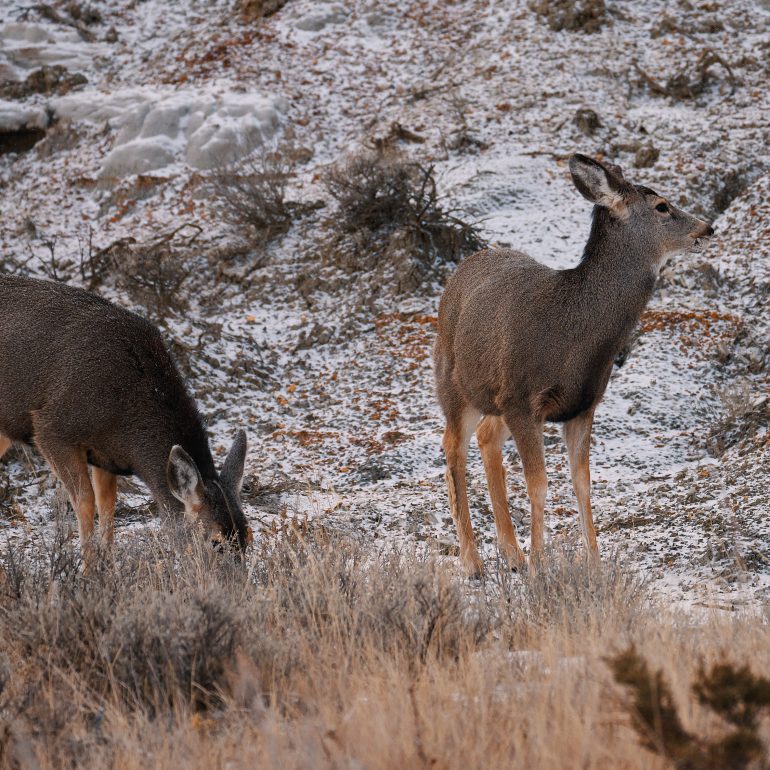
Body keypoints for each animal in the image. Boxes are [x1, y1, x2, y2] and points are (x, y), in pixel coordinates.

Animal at [0, 275, 252, 557]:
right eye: (215, 542)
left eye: (248, 537)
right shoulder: (51, 428)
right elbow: (85, 502)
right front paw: (89, 567)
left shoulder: (107, 456)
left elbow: (108, 505)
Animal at [434, 153, 715, 577]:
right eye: (662, 206)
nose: (708, 227)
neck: (575, 334)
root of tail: (463, 268)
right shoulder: (523, 400)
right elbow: (538, 484)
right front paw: (540, 564)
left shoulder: (583, 404)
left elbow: (582, 483)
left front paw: (593, 564)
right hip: (454, 382)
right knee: (453, 445)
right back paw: (473, 561)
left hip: (495, 397)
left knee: (486, 436)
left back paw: (511, 554)